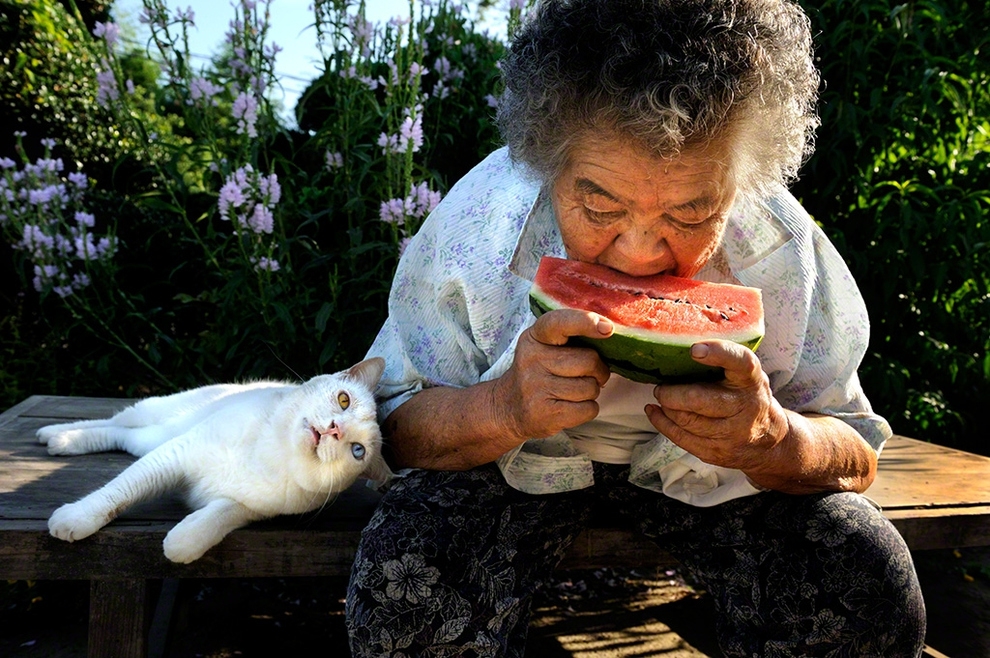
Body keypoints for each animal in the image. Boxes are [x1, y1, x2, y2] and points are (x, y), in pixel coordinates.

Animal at [35, 356, 392, 560]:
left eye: (357, 450)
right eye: (344, 400)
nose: (334, 430)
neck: (273, 454)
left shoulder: (243, 507)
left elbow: (210, 523)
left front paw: (179, 543)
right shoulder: (175, 454)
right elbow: (119, 493)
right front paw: (76, 519)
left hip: (151, 439)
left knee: (121, 434)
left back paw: (59, 440)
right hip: (159, 419)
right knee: (116, 421)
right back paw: (55, 435)